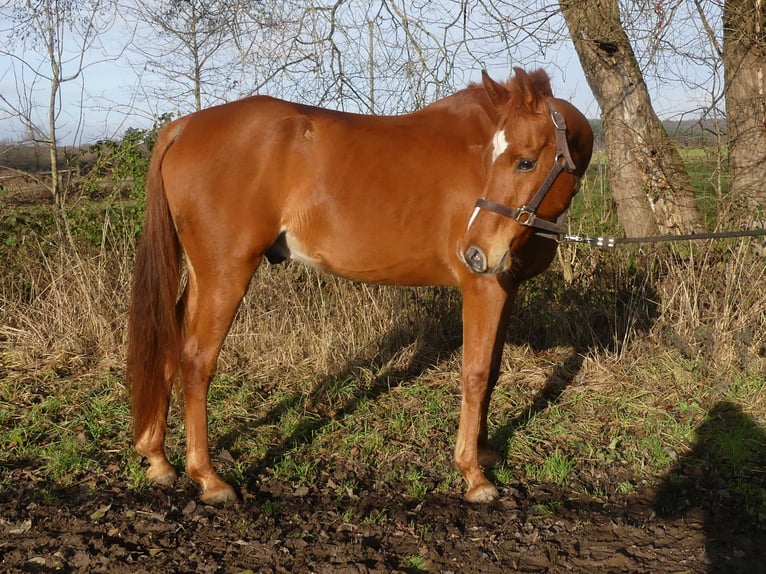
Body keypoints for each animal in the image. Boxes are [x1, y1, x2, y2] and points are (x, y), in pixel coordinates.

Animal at [126, 68, 594, 505]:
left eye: (524, 161)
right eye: (512, 161)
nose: (473, 251)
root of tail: (185, 126)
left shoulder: (506, 288)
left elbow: (492, 370)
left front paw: (485, 452)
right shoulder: (484, 286)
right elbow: (475, 374)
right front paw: (473, 475)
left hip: (202, 277)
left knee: (170, 344)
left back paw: (158, 459)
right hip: (225, 274)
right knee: (196, 360)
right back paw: (209, 478)